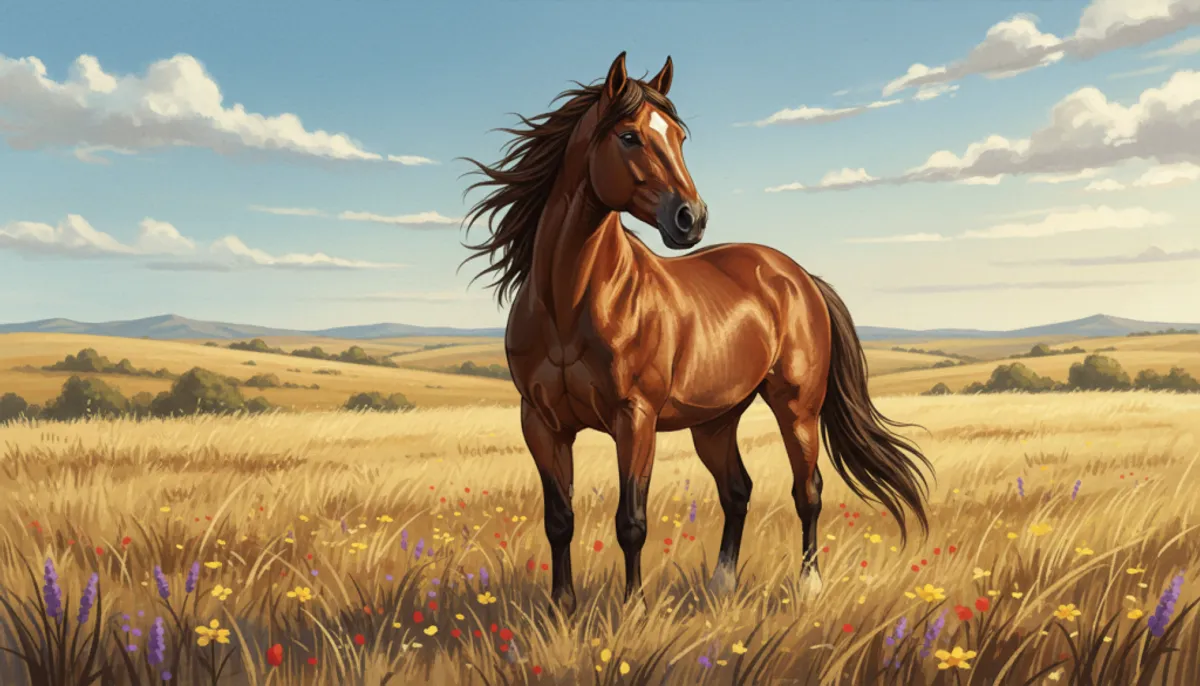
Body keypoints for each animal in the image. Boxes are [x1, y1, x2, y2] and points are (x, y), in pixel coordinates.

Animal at [460, 52, 933, 616]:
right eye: (629, 136)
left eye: (680, 137)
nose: (691, 218)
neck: (569, 304)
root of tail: (798, 276)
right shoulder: (541, 423)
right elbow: (559, 521)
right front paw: (561, 609)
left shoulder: (635, 419)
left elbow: (631, 521)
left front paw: (634, 610)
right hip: (714, 422)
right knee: (737, 490)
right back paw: (720, 584)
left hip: (797, 408)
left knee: (808, 491)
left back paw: (809, 586)